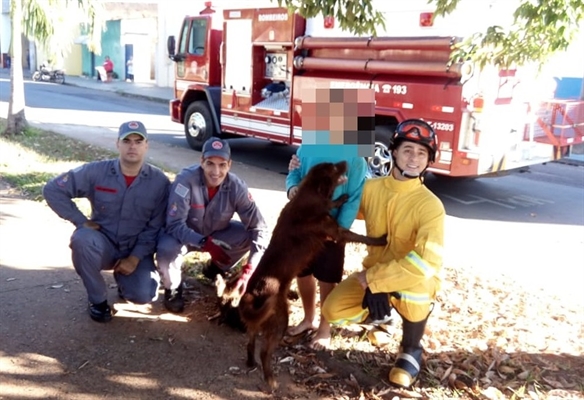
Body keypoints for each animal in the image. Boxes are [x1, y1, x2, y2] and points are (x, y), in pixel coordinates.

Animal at [217, 160, 386, 390]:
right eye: (334, 168)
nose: (345, 162)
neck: (307, 197)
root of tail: (252, 294)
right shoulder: (336, 231)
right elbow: (360, 236)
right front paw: (381, 240)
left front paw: (340, 199)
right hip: (279, 321)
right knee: (264, 351)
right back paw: (270, 379)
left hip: (256, 323)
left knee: (250, 342)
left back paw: (251, 363)